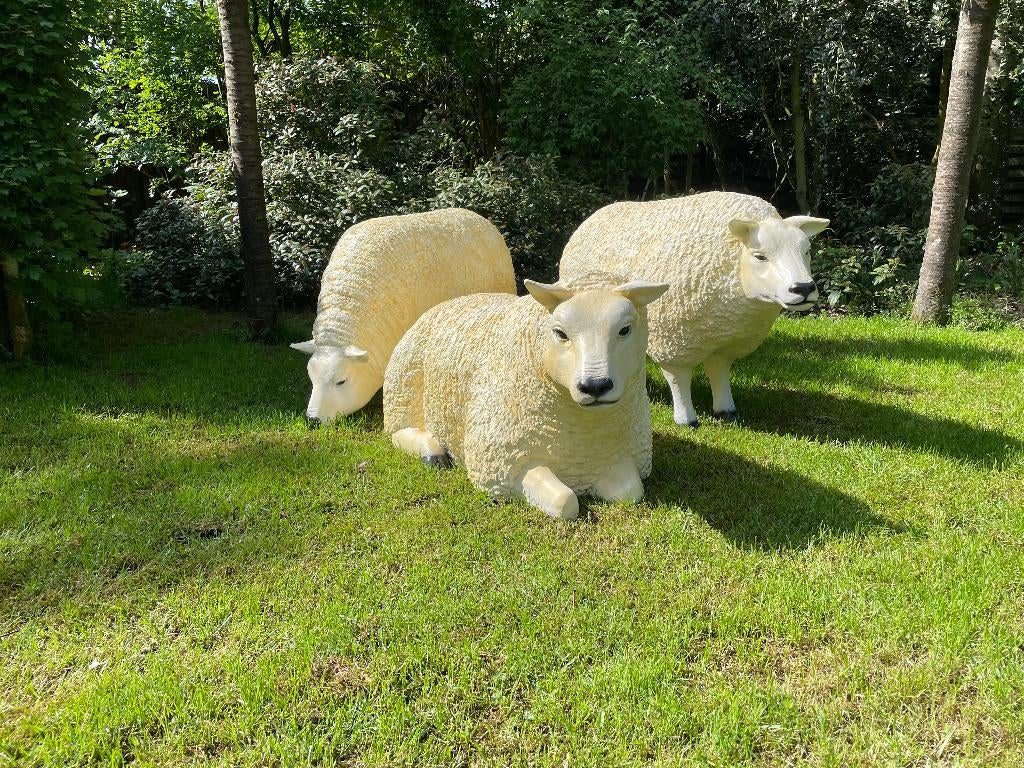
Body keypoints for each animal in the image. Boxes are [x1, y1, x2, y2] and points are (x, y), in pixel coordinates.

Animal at [383, 272, 668, 520]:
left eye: (625, 329)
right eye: (560, 333)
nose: (595, 386)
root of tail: (448, 302)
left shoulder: (623, 455)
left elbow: (631, 492)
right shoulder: (502, 466)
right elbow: (564, 502)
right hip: (403, 388)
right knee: (397, 431)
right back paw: (432, 451)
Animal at [559, 192, 828, 427]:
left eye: (806, 251)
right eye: (759, 256)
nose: (804, 288)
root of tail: (595, 216)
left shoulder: (724, 341)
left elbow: (719, 372)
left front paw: (727, 411)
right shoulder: (672, 340)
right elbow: (679, 380)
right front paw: (686, 419)